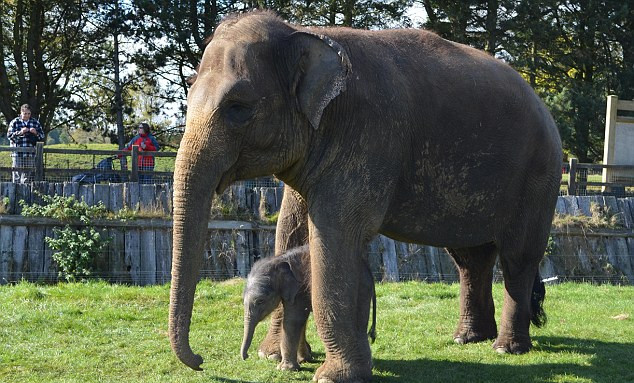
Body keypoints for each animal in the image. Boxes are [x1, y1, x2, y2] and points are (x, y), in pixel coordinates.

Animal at [239, 246, 372, 372]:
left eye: (260, 301)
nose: (246, 357)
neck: (278, 260)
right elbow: (301, 321)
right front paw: (303, 360)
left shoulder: (299, 288)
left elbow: (292, 320)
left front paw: (285, 369)